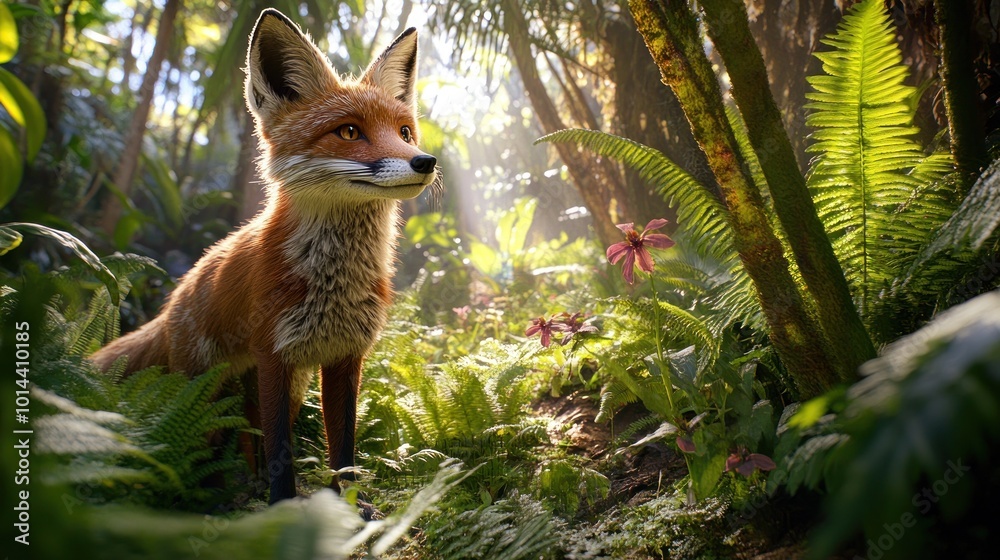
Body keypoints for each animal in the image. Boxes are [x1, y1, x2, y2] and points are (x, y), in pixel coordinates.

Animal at [90, 8, 438, 505]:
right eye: (349, 131)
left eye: (405, 132)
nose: (425, 161)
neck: (334, 283)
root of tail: (173, 299)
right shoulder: (274, 353)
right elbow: (281, 453)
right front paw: (283, 508)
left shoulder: (346, 357)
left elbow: (344, 450)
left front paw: (355, 507)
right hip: (207, 392)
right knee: (206, 442)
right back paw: (209, 496)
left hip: (279, 389)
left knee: (246, 438)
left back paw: (246, 487)